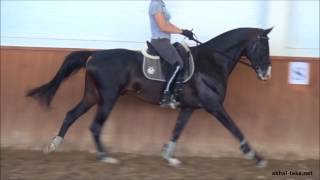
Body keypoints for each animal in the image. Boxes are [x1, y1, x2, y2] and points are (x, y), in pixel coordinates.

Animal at [26, 27, 272, 168]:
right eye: (262, 47)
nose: (266, 74)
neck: (211, 62)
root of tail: (94, 55)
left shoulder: (190, 107)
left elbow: (177, 130)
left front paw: (169, 156)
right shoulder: (214, 105)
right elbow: (235, 128)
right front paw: (256, 156)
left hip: (92, 96)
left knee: (71, 115)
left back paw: (53, 145)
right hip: (108, 97)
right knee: (95, 126)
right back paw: (105, 157)